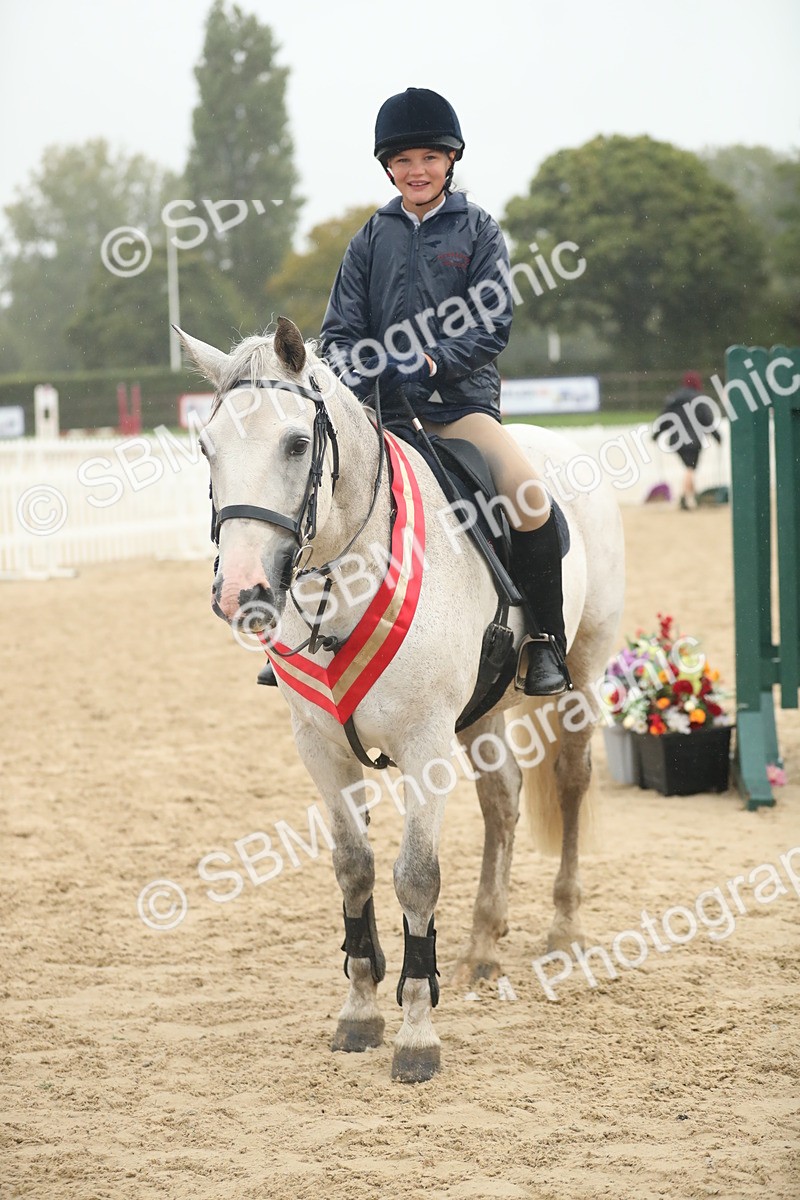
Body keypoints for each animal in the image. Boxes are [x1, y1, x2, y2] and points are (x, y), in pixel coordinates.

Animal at [177, 317, 625, 1083]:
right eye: (207, 448)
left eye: (296, 444)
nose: (240, 592)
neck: (347, 577)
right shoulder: (321, 748)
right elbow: (353, 868)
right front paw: (360, 1009)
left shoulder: (425, 744)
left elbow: (416, 876)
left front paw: (417, 1033)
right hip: (484, 714)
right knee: (502, 802)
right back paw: (482, 946)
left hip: (582, 677)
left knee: (569, 783)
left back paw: (563, 929)